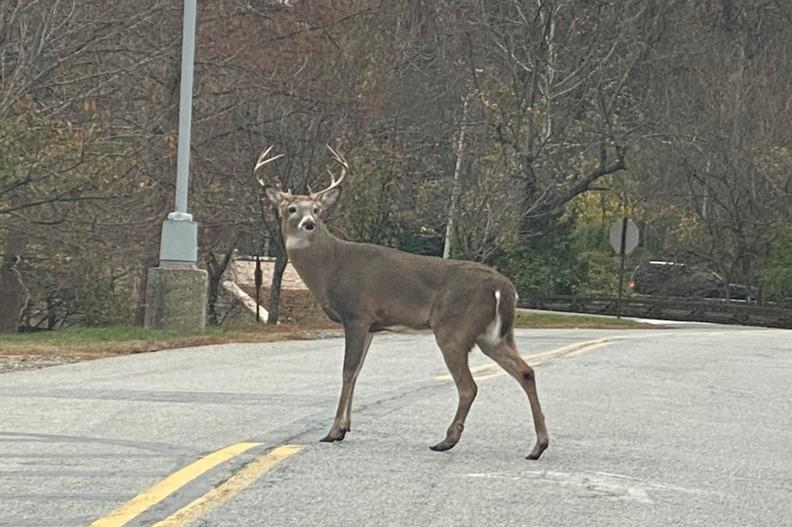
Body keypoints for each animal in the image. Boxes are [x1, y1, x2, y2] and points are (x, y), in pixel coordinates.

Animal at [255, 145, 549, 459]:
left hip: (455, 329)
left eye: (317, 209)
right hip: (493, 336)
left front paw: (333, 431)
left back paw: (447, 440)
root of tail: (504, 287)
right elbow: (358, 371)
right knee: (526, 371)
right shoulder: (372, 325)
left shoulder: (356, 314)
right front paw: (345, 427)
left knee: (469, 386)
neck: (329, 267)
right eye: (292, 209)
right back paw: (537, 446)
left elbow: (347, 371)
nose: (309, 224)